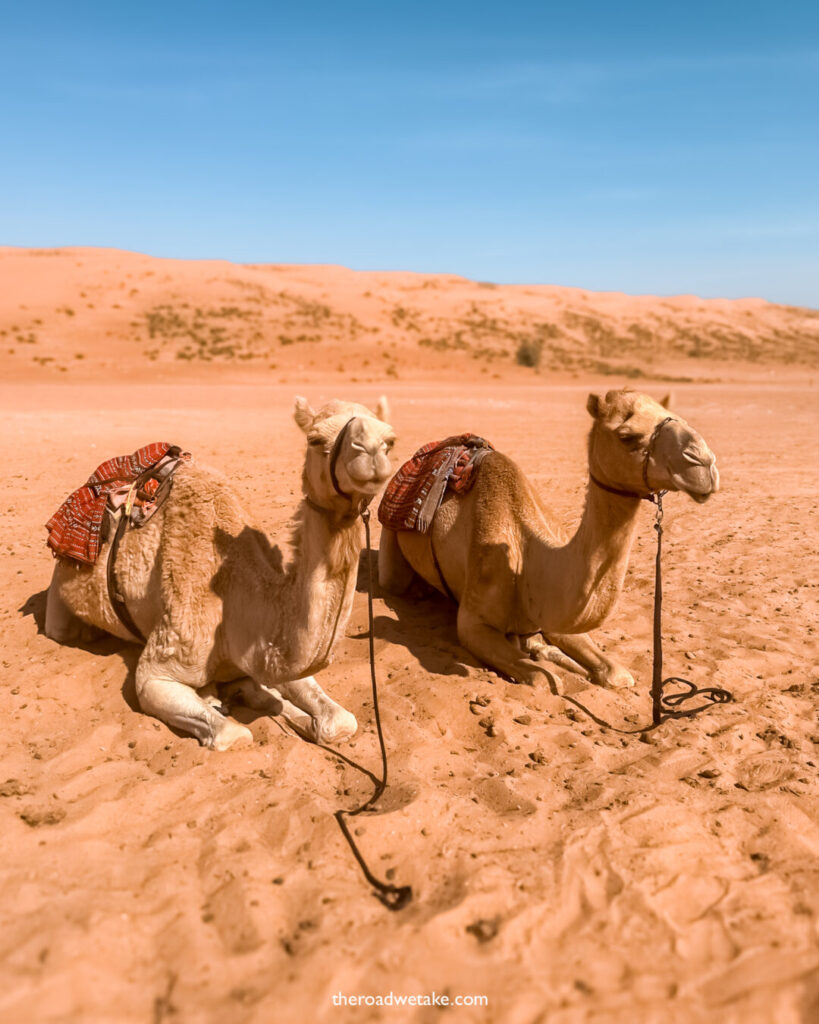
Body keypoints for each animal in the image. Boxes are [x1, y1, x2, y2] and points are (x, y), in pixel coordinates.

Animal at [44, 399, 397, 753]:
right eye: (315, 439)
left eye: (390, 440)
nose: (373, 449)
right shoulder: (157, 671)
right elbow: (234, 735)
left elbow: (340, 721)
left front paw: (279, 705)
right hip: (60, 600)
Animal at [376, 389, 716, 696]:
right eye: (627, 436)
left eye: (677, 417)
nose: (704, 464)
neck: (528, 560)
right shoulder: (473, 622)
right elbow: (543, 680)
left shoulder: (553, 615)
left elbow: (618, 674)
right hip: (389, 546)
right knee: (394, 581)